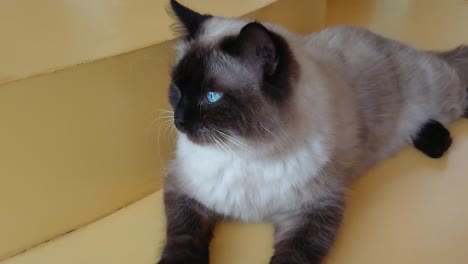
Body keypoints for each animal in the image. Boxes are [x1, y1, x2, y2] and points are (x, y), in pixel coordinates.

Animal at [158, 1, 468, 262]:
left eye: (211, 97)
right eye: (177, 89)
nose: (179, 120)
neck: (244, 152)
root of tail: (393, 41)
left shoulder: (312, 212)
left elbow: (291, 256)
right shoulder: (185, 193)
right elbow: (182, 239)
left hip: (444, 97)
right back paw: (436, 142)